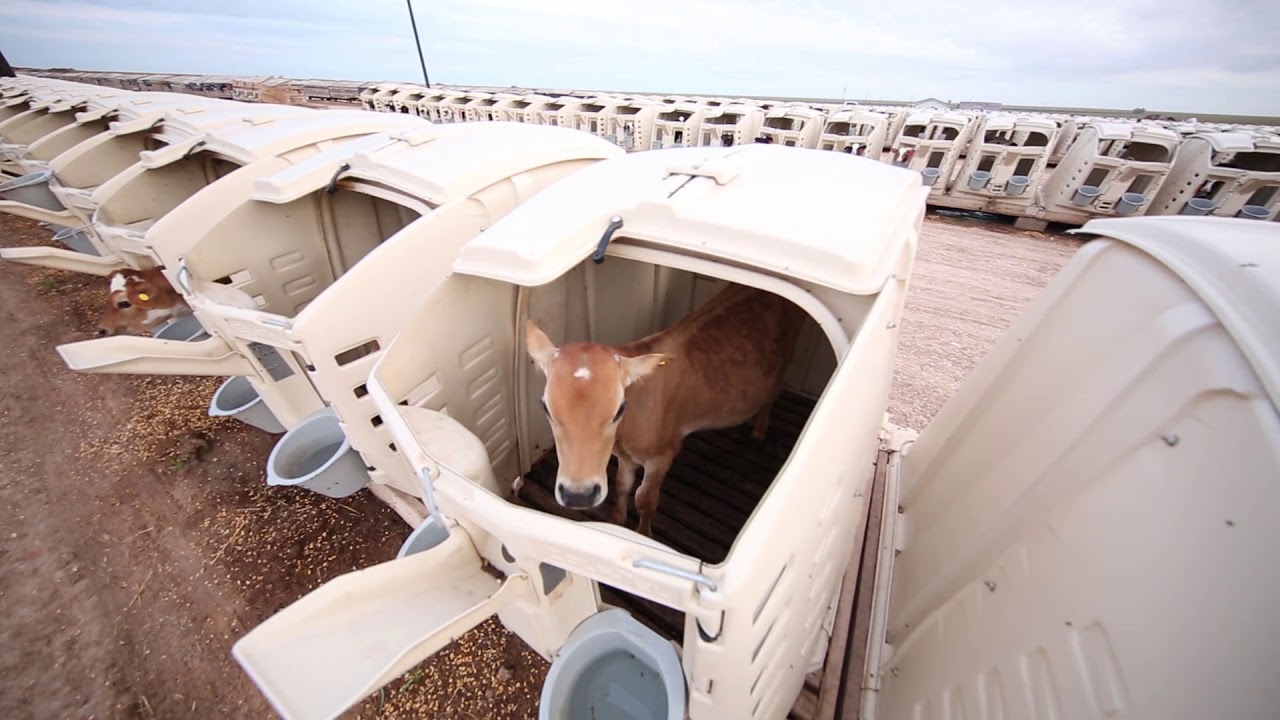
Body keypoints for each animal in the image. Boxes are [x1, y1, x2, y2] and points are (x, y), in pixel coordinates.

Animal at [526, 283, 805, 537]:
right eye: (545, 407)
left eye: (619, 409)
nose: (578, 495)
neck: (626, 435)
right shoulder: (625, 456)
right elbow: (623, 485)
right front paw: (616, 520)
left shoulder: (662, 454)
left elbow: (645, 499)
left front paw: (643, 533)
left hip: (786, 359)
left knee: (772, 394)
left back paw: (759, 431)